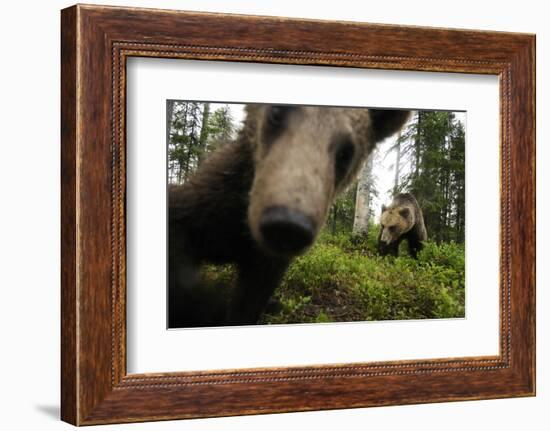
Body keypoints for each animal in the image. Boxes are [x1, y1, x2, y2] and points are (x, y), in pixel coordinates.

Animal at [168, 104, 410, 328]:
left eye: (346, 152)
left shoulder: (266, 264)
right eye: (277, 112)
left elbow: (249, 303)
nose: (287, 224)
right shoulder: (207, 208)